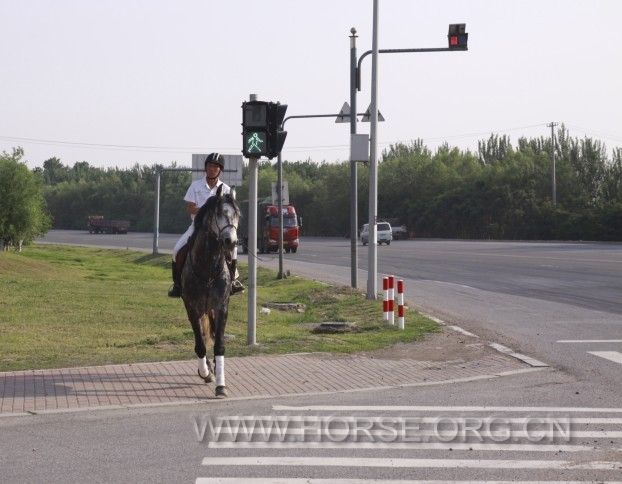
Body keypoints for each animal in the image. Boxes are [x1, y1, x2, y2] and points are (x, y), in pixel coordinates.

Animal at [182, 184, 240, 398]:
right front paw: (205, 372)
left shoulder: (221, 306)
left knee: (213, 334)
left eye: (237, 215)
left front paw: (220, 385)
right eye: (219, 213)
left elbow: (219, 344)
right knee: (203, 335)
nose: (231, 242)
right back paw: (207, 368)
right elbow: (200, 343)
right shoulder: (191, 306)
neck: (207, 266)